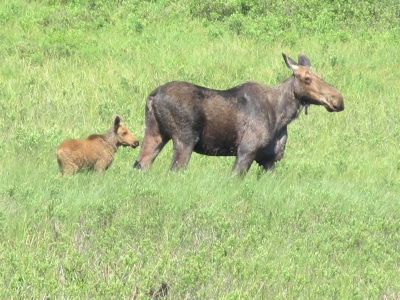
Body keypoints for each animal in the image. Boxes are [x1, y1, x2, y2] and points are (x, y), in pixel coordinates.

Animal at [134, 54, 344, 176]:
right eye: (307, 79)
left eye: (321, 77)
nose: (338, 99)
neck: (283, 115)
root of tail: (153, 97)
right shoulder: (246, 150)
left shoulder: (269, 159)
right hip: (184, 139)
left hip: (155, 133)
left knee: (140, 165)